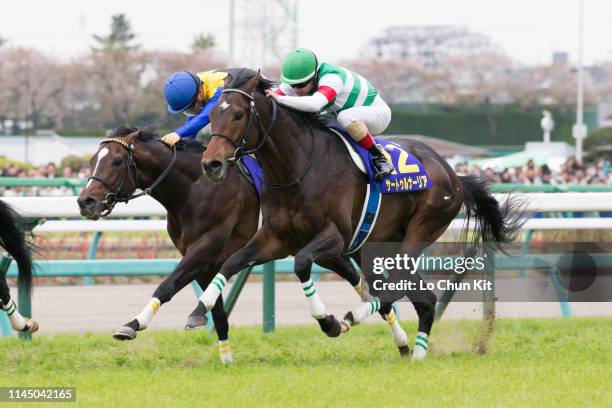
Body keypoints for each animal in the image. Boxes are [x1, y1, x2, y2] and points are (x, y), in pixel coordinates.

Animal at [201, 72, 524, 360]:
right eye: (213, 114)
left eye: (239, 114)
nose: (211, 164)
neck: (298, 169)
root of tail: (453, 174)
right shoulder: (276, 238)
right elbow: (232, 261)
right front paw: (200, 306)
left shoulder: (336, 236)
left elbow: (302, 264)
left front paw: (328, 321)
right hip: (377, 244)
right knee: (423, 299)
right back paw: (417, 352)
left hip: (421, 228)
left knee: (394, 288)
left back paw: (355, 317)